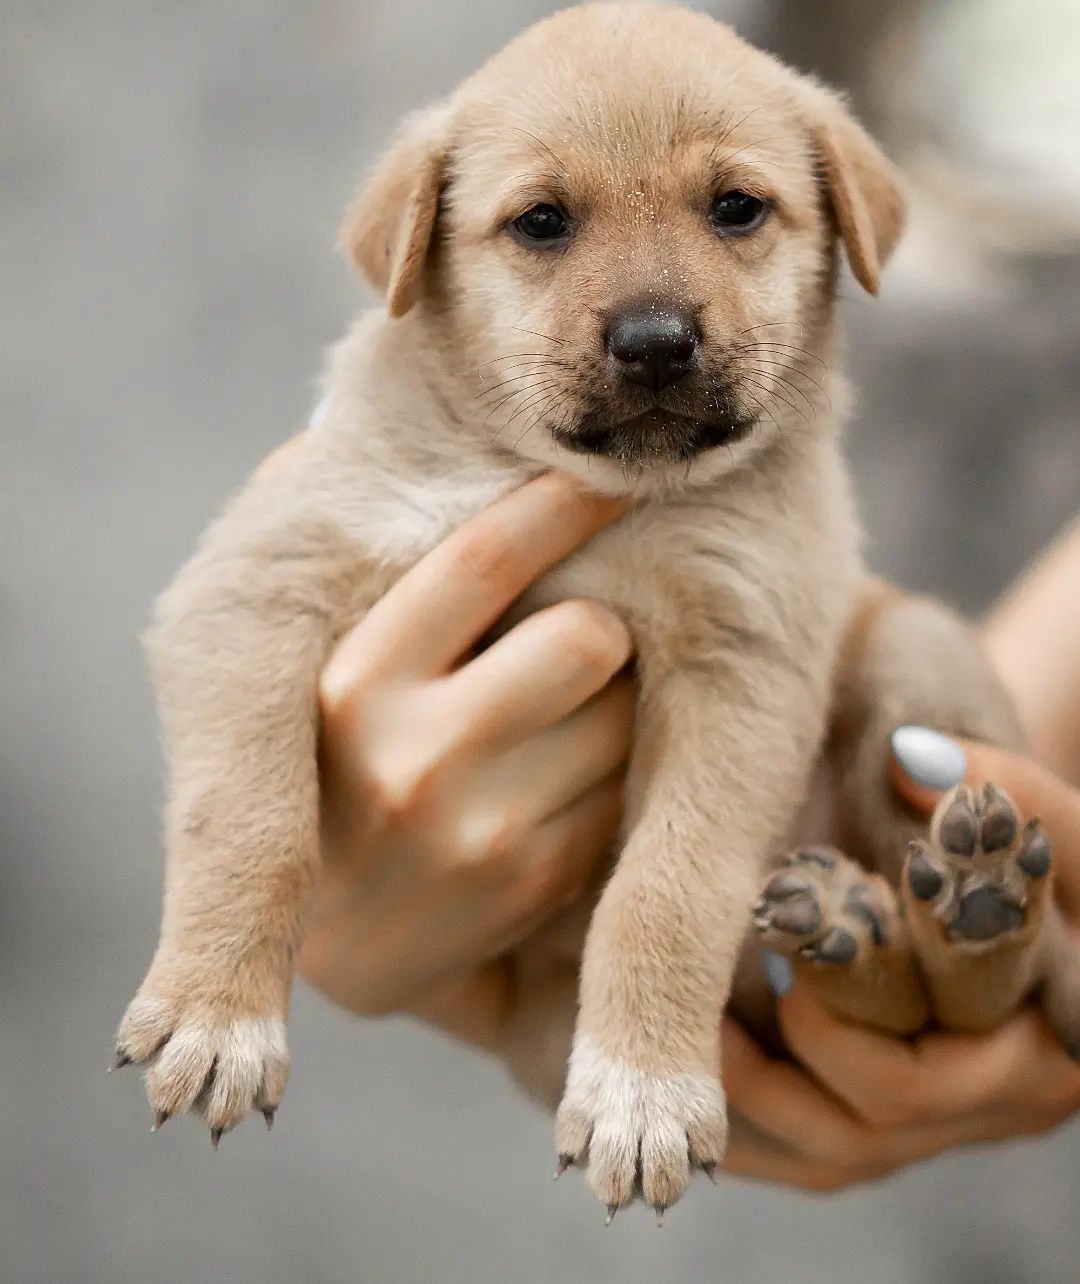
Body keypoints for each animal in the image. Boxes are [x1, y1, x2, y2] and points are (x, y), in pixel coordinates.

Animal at [111, 0, 1078, 1217]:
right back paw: (856, 928)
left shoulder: (742, 662)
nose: (655, 341)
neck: (590, 491)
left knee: (985, 1000)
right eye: (542, 222)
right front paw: (217, 1015)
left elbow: (667, 886)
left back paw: (969, 898)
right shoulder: (255, 581)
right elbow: (252, 818)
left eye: (735, 207)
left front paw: (644, 1090)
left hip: (914, 652)